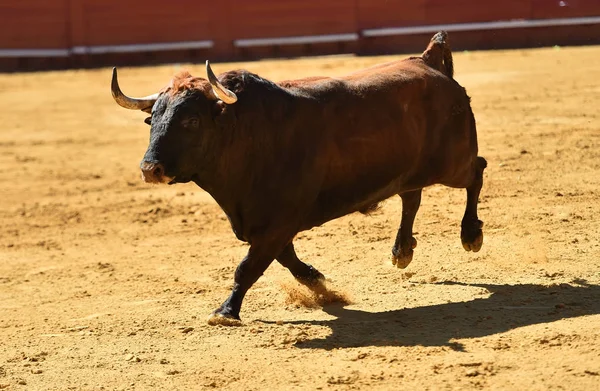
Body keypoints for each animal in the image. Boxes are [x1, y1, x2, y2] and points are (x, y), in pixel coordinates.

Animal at [110, 31, 488, 324]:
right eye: (153, 120)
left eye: (191, 121)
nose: (150, 169)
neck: (246, 132)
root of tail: (428, 61)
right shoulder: (268, 224)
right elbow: (284, 259)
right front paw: (319, 283)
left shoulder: (277, 222)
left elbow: (249, 266)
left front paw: (225, 312)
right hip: (411, 169)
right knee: (412, 196)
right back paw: (401, 252)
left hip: (453, 164)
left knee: (476, 172)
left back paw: (470, 235)